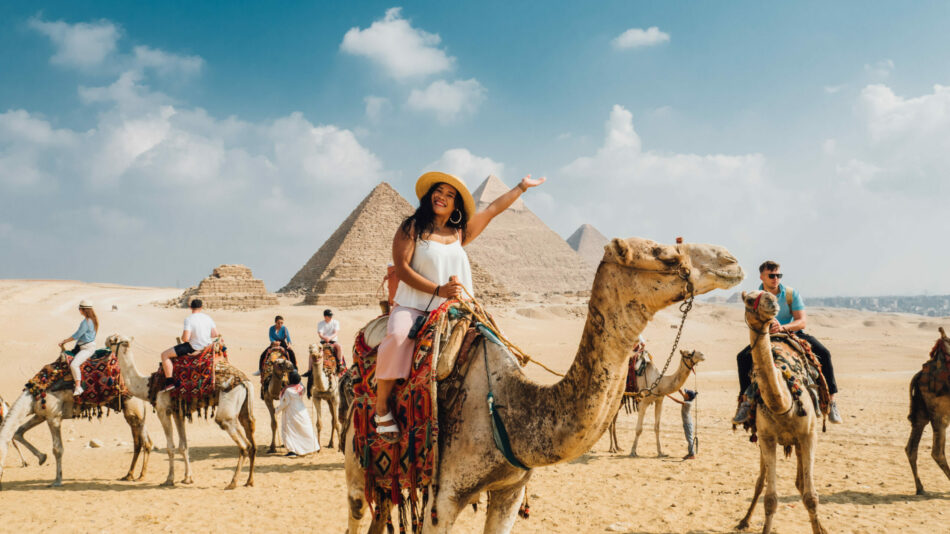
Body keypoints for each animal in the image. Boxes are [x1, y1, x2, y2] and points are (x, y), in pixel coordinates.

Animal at [105, 338, 256, 492]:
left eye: (114, 339)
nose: (106, 342)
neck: (148, 385)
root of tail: (246, 382)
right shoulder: (178, 412)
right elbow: (183, 446)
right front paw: (187, 478)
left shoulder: (163, 410)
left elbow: (170, 447)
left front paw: (169, 479)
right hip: (244, 410)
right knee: (250, 440)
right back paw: (249, 481)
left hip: (228, 406)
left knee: (242, 442)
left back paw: (233, 482)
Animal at [342, 240, 744, 534]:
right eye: (666, 255)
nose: (731, 260)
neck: (505, 407)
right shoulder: (443, 499)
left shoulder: (510, 492)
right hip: (357, 463)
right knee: (358, 511)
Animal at [736, 294, 824, 534]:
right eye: (749, 299)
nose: (771, 300)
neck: (784, 404)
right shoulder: (767, 437)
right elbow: (770, 498)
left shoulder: (808, 435)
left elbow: (811, 497)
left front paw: (820, 529)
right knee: (761, 481)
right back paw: (744, 520)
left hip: (800, 441)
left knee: (801, 484)